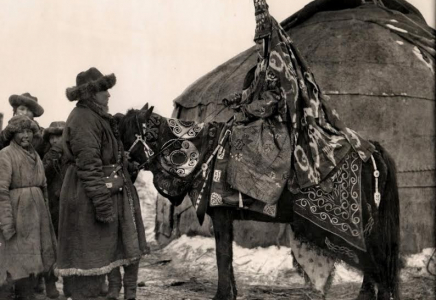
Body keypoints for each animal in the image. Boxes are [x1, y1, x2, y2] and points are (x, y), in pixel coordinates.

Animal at [117, 105, 400, 300]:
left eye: (123, 132)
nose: (123, 167)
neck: (206, 151)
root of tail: (373, 149)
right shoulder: (226, 216)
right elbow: (227, 256)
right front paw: (230, 292)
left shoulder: (220, 214)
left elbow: (222, 254)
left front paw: (222, 295)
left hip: (366, 227)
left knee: (376, 260)